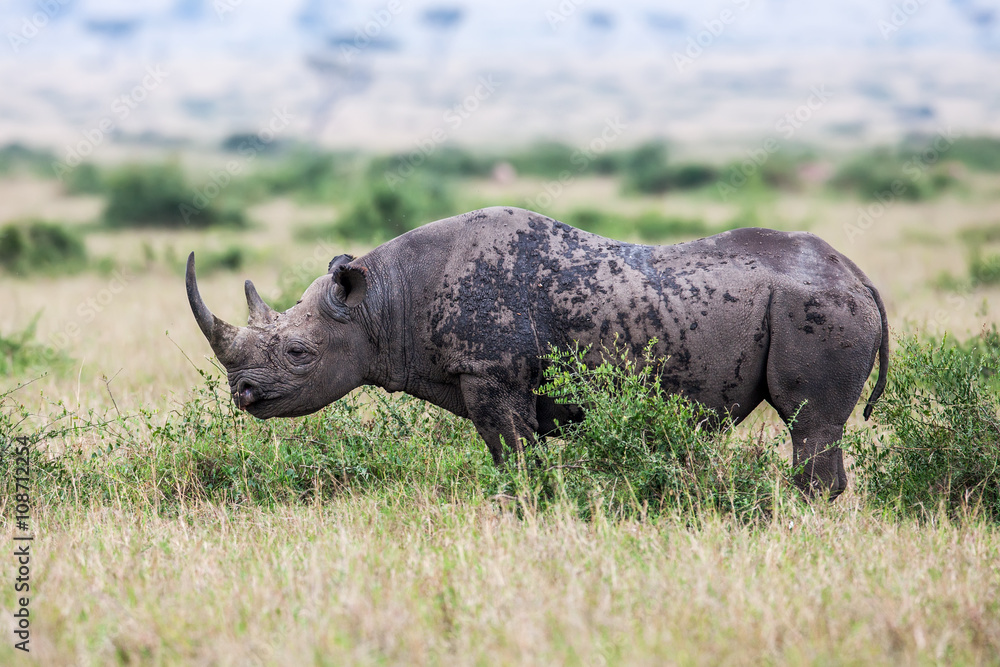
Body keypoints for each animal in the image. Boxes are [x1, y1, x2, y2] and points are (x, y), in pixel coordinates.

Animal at [186, 206, 888, 497]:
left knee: (810, 424)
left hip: (817, 306)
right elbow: (513, 456)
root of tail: (858, 275)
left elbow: (515, 459)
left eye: (299, 352)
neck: (381, 301)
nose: (243, 394)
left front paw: (523, 510)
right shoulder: (488, 380)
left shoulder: (491, 377)